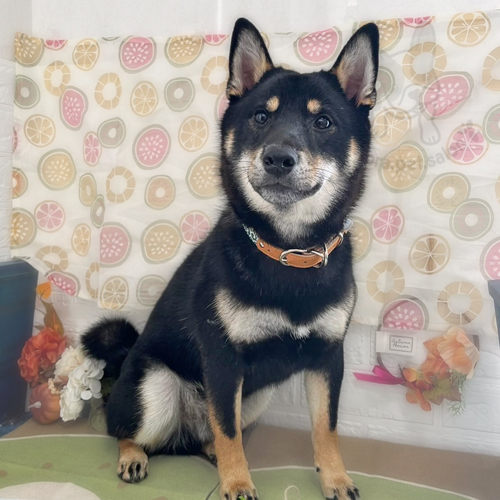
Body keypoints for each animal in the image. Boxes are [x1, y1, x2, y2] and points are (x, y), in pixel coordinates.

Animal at [82, 18, 379, 500]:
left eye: (323, 121)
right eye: (261, 117)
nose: (278, 157)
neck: (288, 252)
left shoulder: (328, 356)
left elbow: (325, 427)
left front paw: (335, 478)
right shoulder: (223, 357)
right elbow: (227, 428)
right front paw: (238, 483)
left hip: (256, 396)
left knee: (211, 434)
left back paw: (207, 454)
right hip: (155, 387)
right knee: (126, 428)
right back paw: (134, 456)